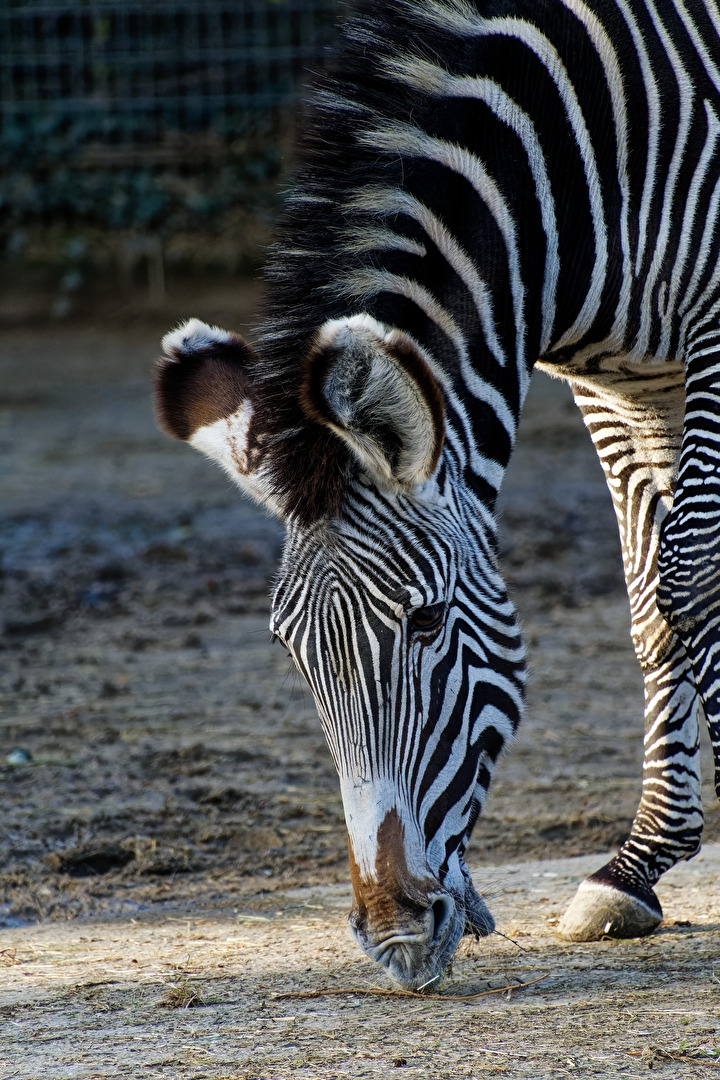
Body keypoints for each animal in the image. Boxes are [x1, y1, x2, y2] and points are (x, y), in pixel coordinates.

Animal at [155, 0, 720, 990]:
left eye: (424, 622)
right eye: (291, 652)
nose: (393, 933)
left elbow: (693, 579)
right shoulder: (618, 380)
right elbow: (657, 601)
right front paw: (638, 864)